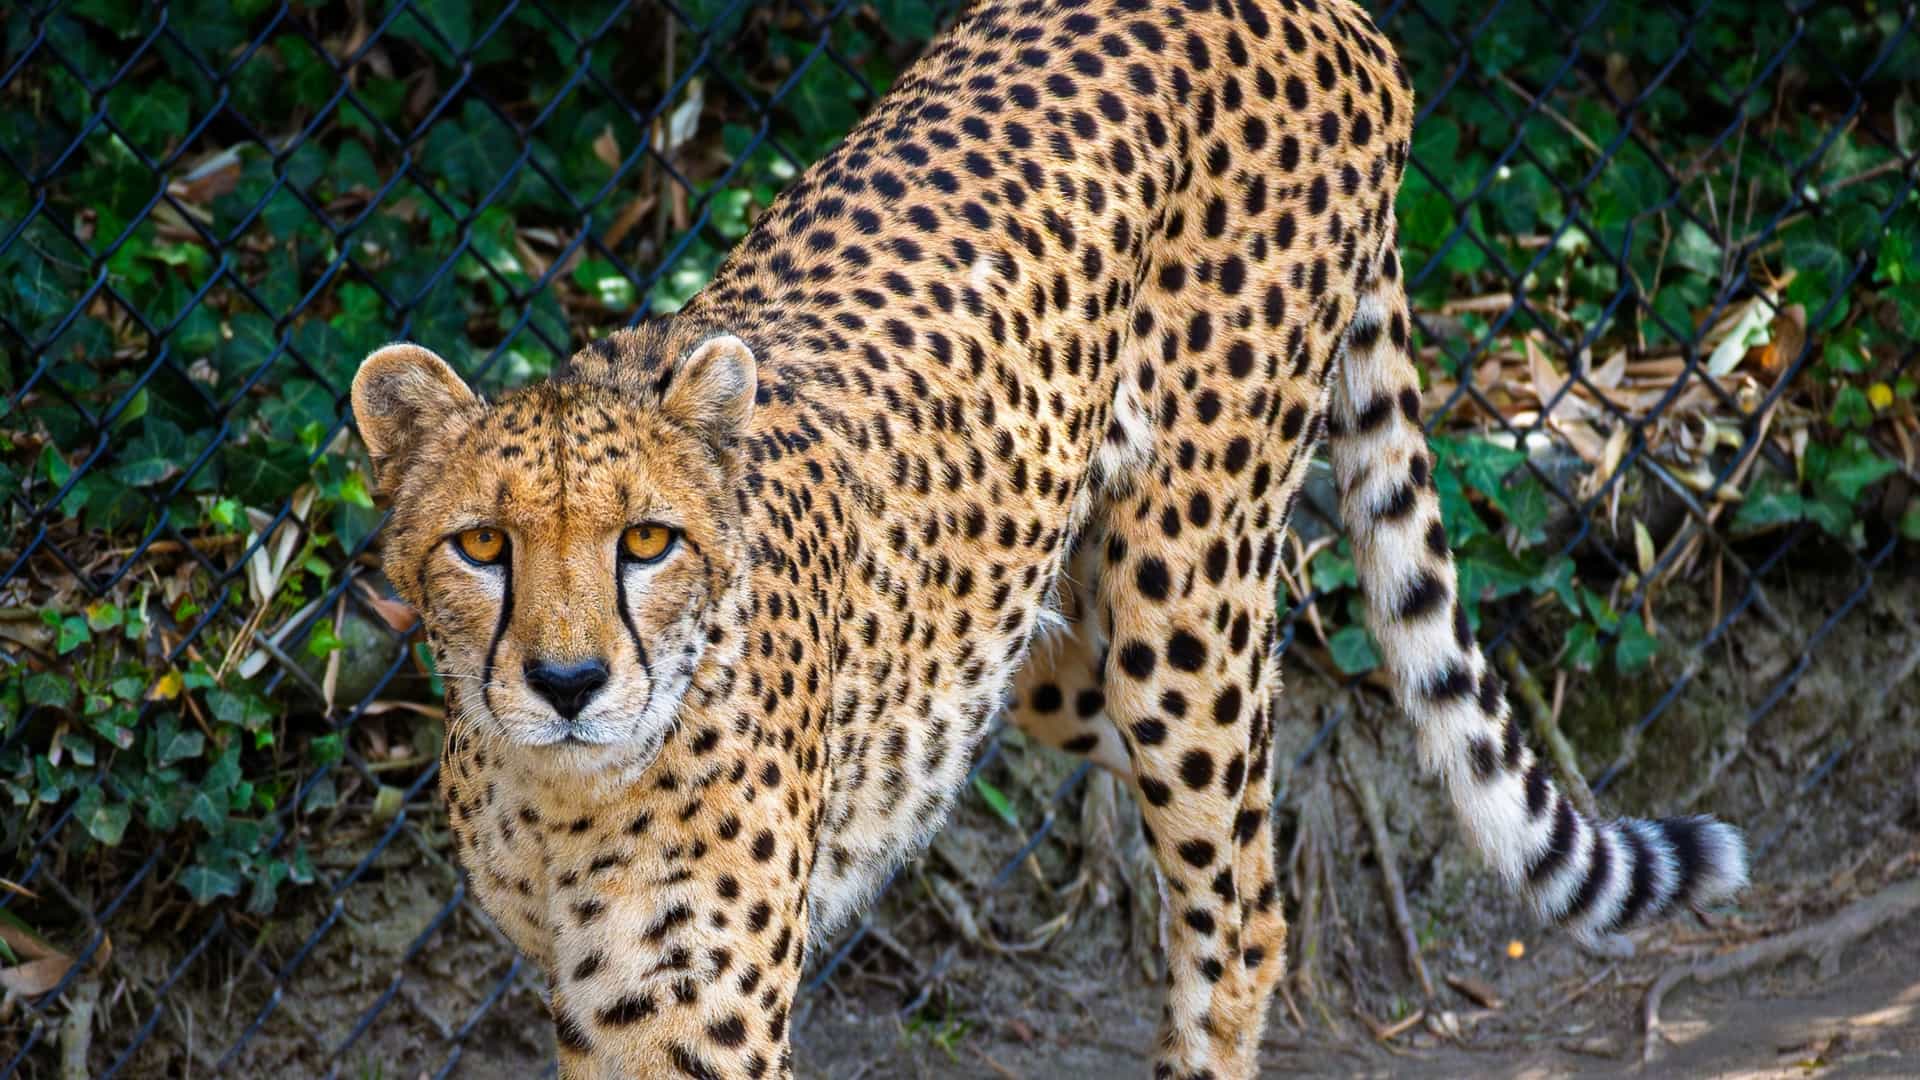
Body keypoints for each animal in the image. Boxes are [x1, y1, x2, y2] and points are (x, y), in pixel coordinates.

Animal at [350, 0, 1749, 1076]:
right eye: (482, 547)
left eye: (646, 542)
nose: (569, 682)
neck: (561, 791)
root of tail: (1326, 11)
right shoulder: (592, 1003)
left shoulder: (695, 1019)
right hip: (1040, 649)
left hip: (1187, 593)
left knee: (1242, 914)